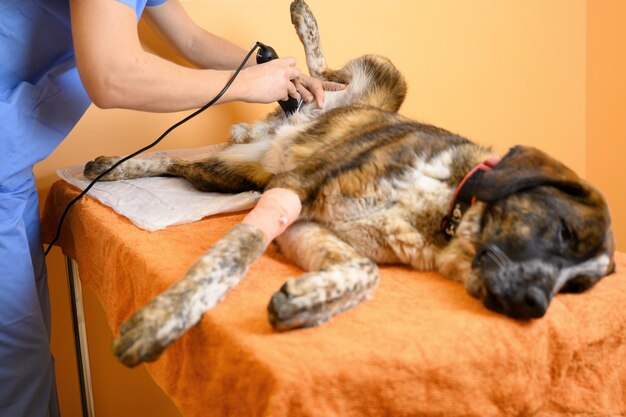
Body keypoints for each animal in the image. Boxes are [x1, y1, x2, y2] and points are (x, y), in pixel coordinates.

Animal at [83, 0, 616, 366]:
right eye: (564, 231)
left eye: (578, 288)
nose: (534, 307)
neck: (445, 209)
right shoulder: (294, 191)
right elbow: (231, 259)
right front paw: (160, 323)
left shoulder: (305, 225)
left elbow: (367, 271)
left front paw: (305, 303)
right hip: (385, 76)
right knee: (317, 72)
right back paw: (302, 23)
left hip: (231, 174)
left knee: (174, 160)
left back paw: (114, 165)